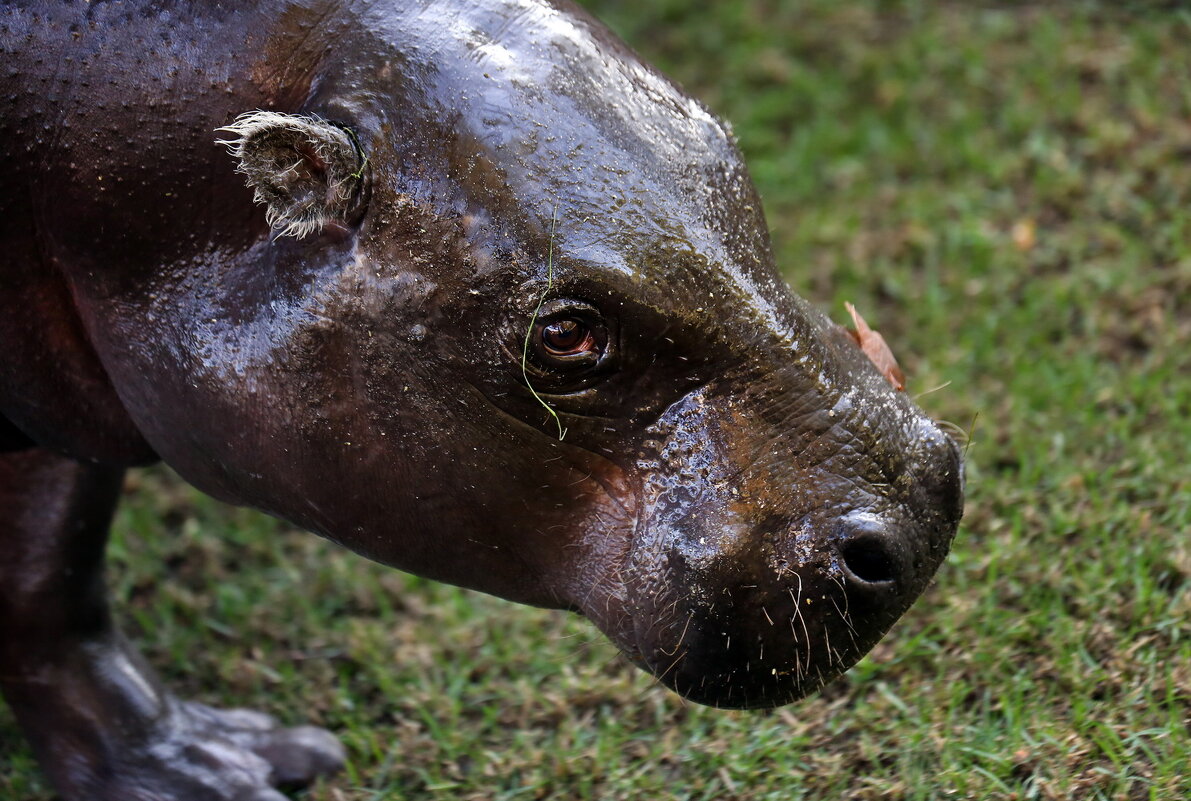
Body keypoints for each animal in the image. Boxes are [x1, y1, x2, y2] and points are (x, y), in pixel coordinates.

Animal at [0, 0, 962, 795]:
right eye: (566, 332)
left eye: (719, 141)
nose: (917, 515)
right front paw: (220, 771)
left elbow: (49, 575)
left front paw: (207, 766)